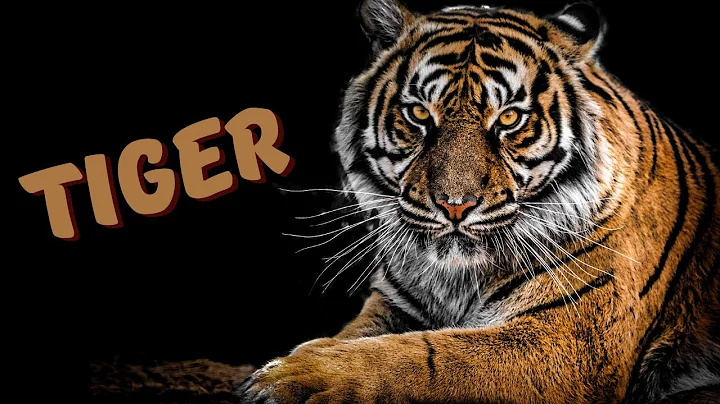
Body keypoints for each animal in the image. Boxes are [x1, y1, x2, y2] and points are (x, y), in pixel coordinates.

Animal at [235, 0, 720, 403]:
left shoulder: (571, 340)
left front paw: (291, 376)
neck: (456, 279)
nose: (454, 205)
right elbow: (358, 336)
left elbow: (423, 356)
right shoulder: (395, 304)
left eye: (509, 118)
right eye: (419, 113)